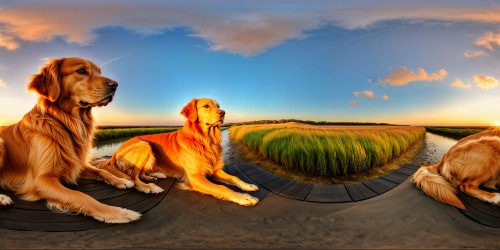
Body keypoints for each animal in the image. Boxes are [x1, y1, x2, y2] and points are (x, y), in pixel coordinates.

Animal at [0, 57, 141, 223]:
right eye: (81, 70)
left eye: (99, 72)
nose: (115, 85)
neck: (65, 124)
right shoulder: (41, 180)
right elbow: (83, 197)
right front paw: (118, 213)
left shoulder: (75, 164)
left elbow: (100, 171)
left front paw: (120, 180)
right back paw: (3, 198)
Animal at [94, 98, 260, 206]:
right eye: (206, 106)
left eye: (219, 105)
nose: (223, 112)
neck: (204, 140)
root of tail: (115, 153)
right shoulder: (194, 177)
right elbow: (221, 187)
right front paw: (244, 198)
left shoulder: (214, 170)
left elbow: (234, 177)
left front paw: (247, 186)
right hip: (144, 145)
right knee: (133, 177)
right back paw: (148, 187)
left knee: (140, 173)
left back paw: (156, 175)